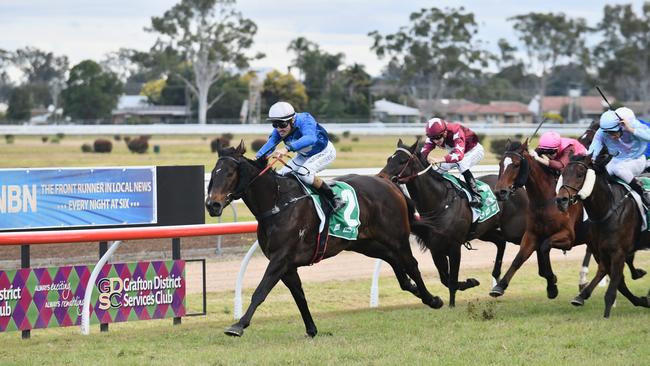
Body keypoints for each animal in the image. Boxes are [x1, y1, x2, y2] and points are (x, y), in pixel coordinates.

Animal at [205, 142, 442, 338]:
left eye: (230, 173)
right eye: (214, 174)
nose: (212, 205)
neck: (278, 203)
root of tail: (389, 184)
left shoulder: (281, 259)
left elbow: (260, 291)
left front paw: (238, 325)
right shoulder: (287, 264)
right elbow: (299, 295)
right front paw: (311, 329)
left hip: (397, 238)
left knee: (411, 264)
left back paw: (432, 299)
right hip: (366, 243)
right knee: (394, 262)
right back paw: (413, 288)